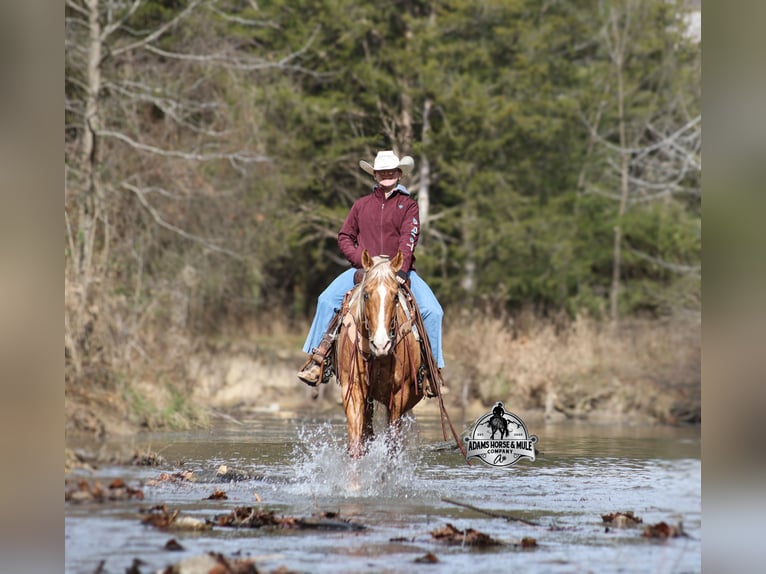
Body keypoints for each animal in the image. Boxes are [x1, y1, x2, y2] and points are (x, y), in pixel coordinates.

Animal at [334, 249, 424, 458]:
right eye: (366, 295)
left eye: (395, 297)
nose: (381, 344)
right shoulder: (353, 389)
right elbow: (356, 445)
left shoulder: (398, 395)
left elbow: (392, 448)